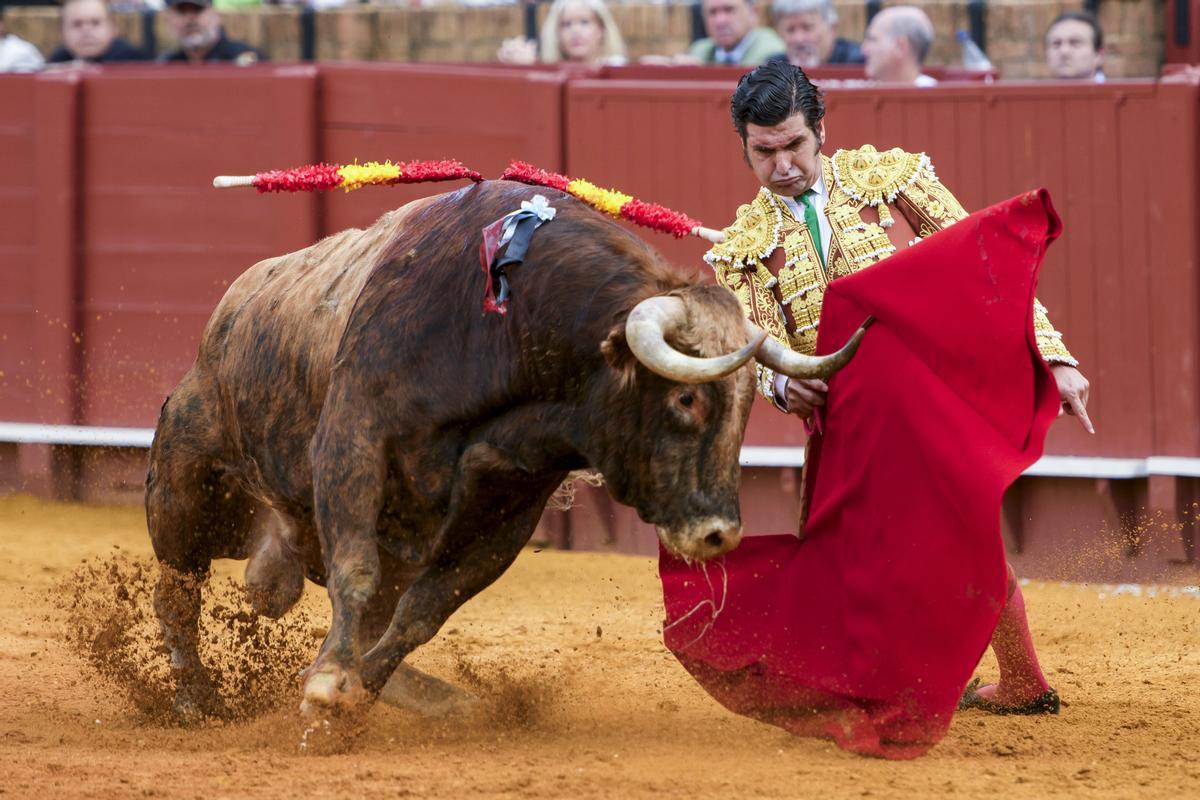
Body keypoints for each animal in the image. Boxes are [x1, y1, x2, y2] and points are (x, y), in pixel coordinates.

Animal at [147, 179, 864, 719]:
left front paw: (351, 691)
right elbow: (358, 571)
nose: (720, 534)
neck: (506, 329)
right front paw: (328, 687)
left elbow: (420, 614)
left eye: (745, 408)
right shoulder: (354, 435)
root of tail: (231, 307)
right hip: (186, 483)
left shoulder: (509, 509)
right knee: (177, 592)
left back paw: (433, 698)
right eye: (686, 400)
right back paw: (196, 700)